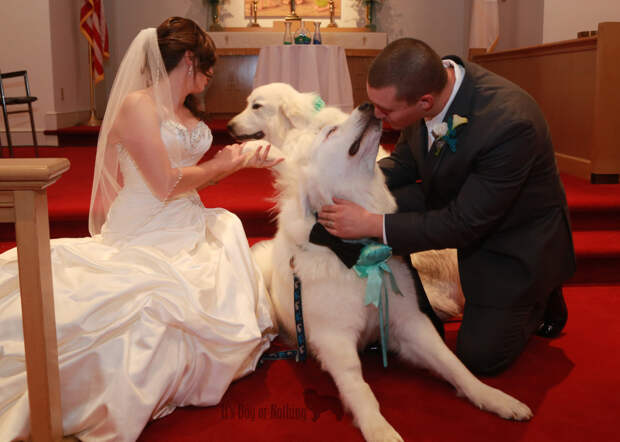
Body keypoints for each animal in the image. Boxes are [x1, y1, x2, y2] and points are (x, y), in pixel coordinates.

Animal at [232, 81, 464, 320]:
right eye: (248, 104)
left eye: (256, 106)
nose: (230, 126)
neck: (299, 129)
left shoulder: (302, 172)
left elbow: (281, 158)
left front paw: (253, 150)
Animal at [249, 102, 536, 440]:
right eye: (331, 132)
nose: (366, 105)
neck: (355, 252)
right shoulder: (335, 340)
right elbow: (360, 389)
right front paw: (379, 429)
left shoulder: (411, 323)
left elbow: (454, 364)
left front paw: (492, 397)